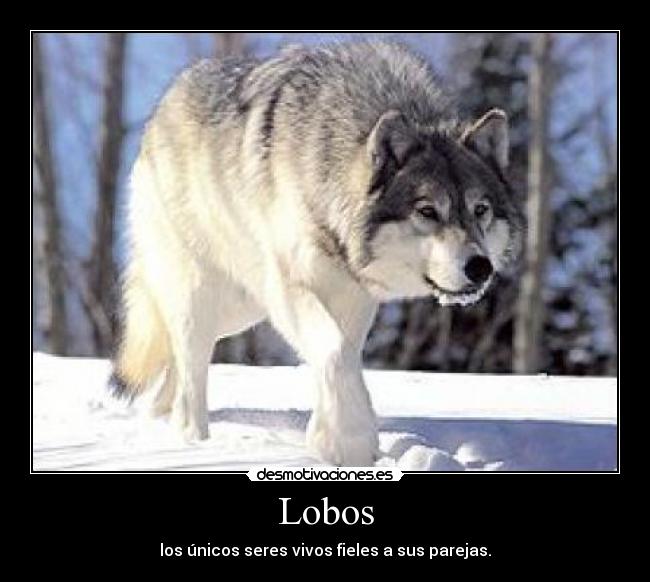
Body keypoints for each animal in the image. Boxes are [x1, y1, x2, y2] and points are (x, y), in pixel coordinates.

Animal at [111, 41, 524, 466]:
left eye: (480, 210)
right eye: (428, 211)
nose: (480, 267)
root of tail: (164, 104)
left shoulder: (354, 297)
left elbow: (344, 357)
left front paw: (332, 438)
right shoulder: (290, 287)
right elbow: (334, 350)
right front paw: (349, 440)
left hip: (239, 311)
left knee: (174, 368)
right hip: (207, 300)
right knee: (189, 373)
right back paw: (193, 441)